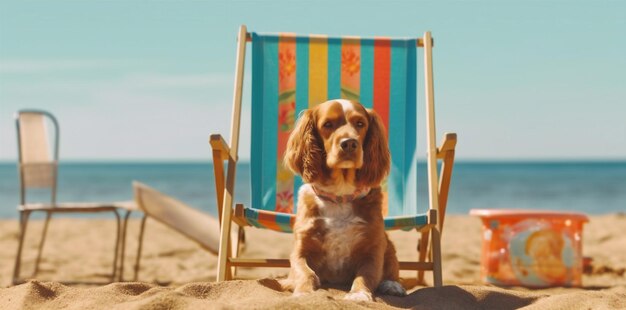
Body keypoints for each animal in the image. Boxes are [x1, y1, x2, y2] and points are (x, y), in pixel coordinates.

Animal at [282, 98, 404, 300]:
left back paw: (392, 285)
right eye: (328, 124)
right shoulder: (300, 249)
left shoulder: (373, 248)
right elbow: (305, 273)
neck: (340, 196)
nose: (349, 143)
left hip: (388, 244)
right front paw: (305, 293)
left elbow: (366, 274)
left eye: (360, 124)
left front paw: (359, 295)